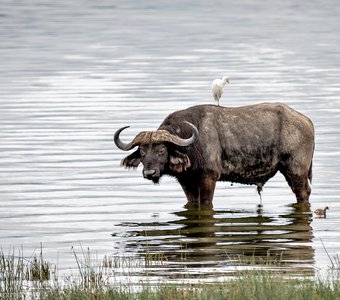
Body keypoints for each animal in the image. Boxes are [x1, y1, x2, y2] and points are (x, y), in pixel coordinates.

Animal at [113, 103, 314, 204]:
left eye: (161, 149)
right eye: (142, 151)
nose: (149, 173)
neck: (191, 143)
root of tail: (306, 121)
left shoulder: (209, 178)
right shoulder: (186, 182)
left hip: (296, 171)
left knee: (303, 192)